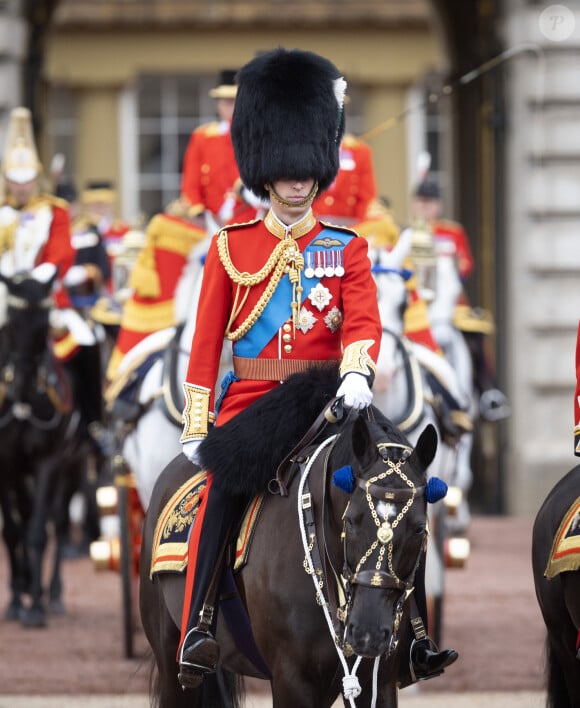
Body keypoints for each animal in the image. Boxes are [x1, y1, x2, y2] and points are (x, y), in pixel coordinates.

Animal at [0, 272, 88, 624]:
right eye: (10, 324)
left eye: (43, 329)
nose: (21, 387)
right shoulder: (8, 465)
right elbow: (13, 531)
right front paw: (16, 601)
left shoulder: (48, 461)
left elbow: (38, 531)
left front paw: (35, 607)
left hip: (72, 465)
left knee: (59, 522)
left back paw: (53, 593)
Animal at [140, 366, 438, 708]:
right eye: (351, 521)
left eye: (419, 529)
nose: (369, 633)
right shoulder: (291, 679)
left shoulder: (378, 681)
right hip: (171, 659)